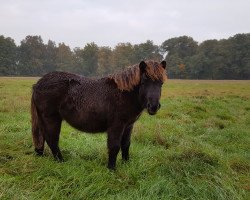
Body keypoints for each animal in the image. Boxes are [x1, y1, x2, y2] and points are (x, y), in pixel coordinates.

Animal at [32, 60, 167, 170]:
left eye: (161, 83)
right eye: (144, 82)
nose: (153, 107)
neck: (124, 94)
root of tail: (38, 84)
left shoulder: (128, 125)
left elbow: (126, 145)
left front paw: (126, 164)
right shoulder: (116, 126)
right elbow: (114, 146)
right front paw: (111, 169)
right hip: (51, 119)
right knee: (52, 139)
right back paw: (61, 161)